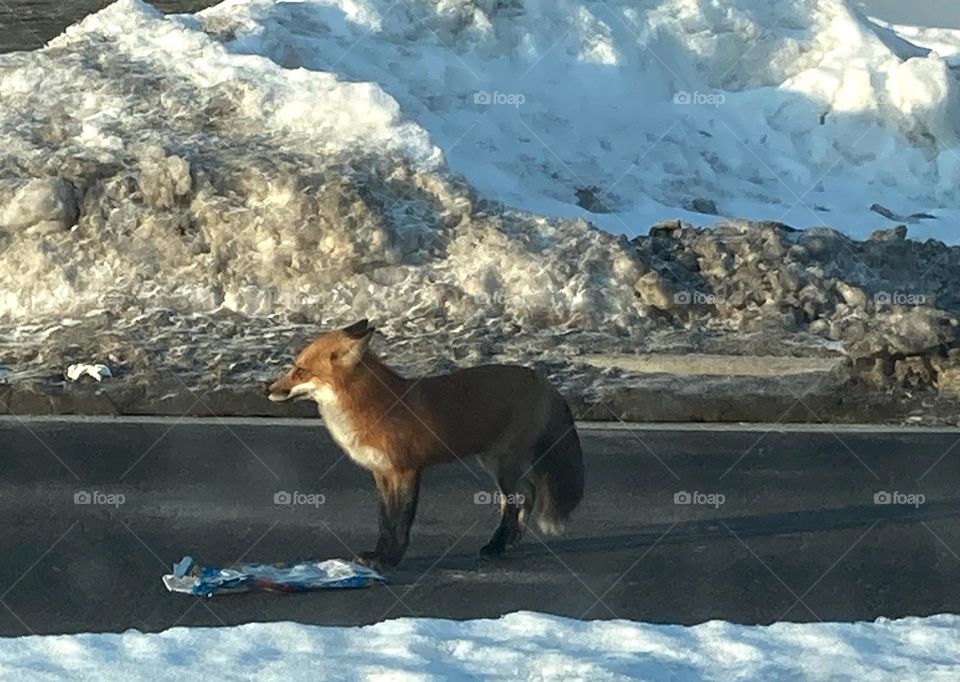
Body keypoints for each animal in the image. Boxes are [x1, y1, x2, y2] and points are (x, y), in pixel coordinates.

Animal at [266, 319, 584, 570]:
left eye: (299, 371)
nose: (268, 389)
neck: (373, 405)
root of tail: (545, 381)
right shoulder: (381, 473)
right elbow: (384, 520)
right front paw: (379, 555)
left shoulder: (405, 470)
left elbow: (400, 521)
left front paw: (391, 559)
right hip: (497, 462)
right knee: (528, 493)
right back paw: (509, 542)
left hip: (501, 463)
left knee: (517, 498)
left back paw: (496, 546)